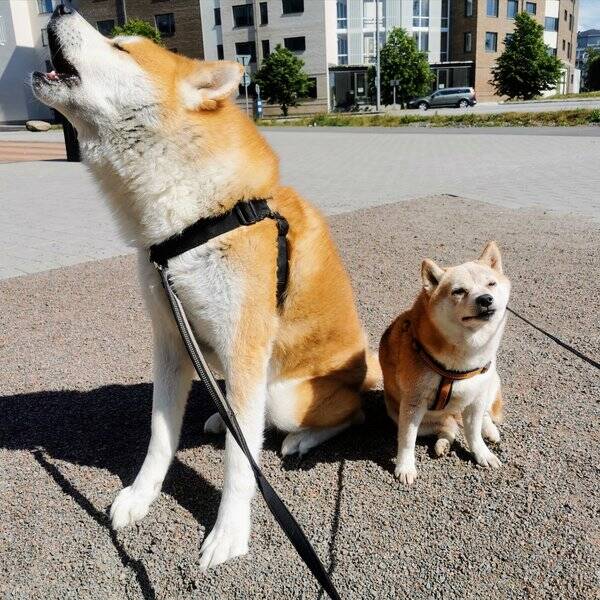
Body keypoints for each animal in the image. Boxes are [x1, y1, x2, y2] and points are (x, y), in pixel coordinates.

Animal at [32, 7, 378, 568]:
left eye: (121, 46)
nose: (60, 7)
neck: (192, 220)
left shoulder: (245, 348)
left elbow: (241, 465)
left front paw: (230, 533)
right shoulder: (171, 341)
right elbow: (159, 436)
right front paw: (141, 496)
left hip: (284, 394)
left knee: (343, 415)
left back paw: (299, 440)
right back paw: (222, 418)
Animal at [380, 241, 510, 486]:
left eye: (491, 283)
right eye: (459, 291)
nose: (486, 299)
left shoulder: (476, 398)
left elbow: (473, 433)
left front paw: (482, 454)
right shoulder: (413, 402)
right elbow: (407, 440)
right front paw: (405, 467)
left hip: (490, 383)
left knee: (481, 417)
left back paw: (490, 431)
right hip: (408, 416)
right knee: (449, 428)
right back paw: (443, 444)